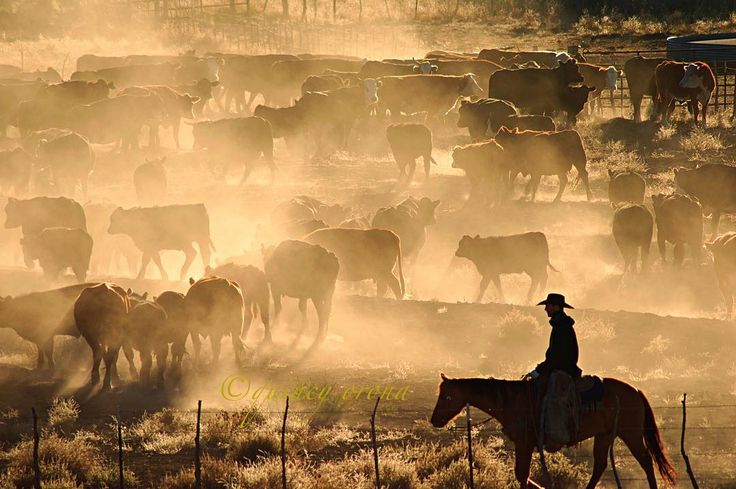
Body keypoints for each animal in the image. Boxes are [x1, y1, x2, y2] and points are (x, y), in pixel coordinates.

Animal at [432, 374, 680, 484]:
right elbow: (521, 474)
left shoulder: (524, 444)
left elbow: (522, 475)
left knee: (646, 460)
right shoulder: (524, 445)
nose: (435, 420)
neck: (514, 400)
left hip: (631, 433)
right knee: (600, 465)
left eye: (446, 396)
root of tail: (636, 391)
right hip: (605, 435)